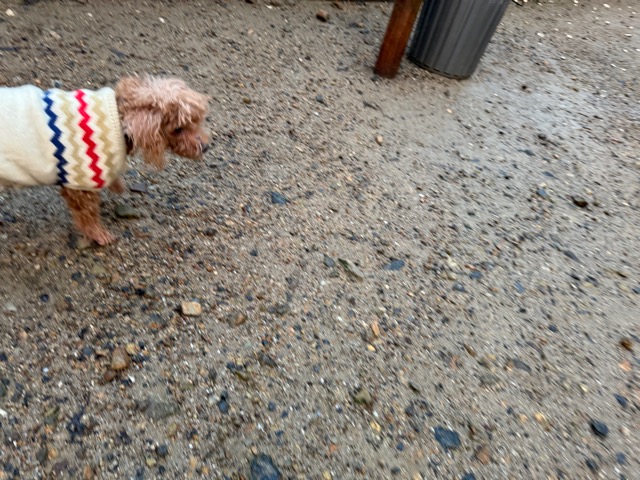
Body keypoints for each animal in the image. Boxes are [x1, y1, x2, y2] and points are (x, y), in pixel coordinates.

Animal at [0, 75, 209, 245]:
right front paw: (99, 235)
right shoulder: (80, 184)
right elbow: (87, 215)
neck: (120, 118)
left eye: (196, 121)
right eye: (178, 129)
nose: (205, 146)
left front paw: (117, 185)